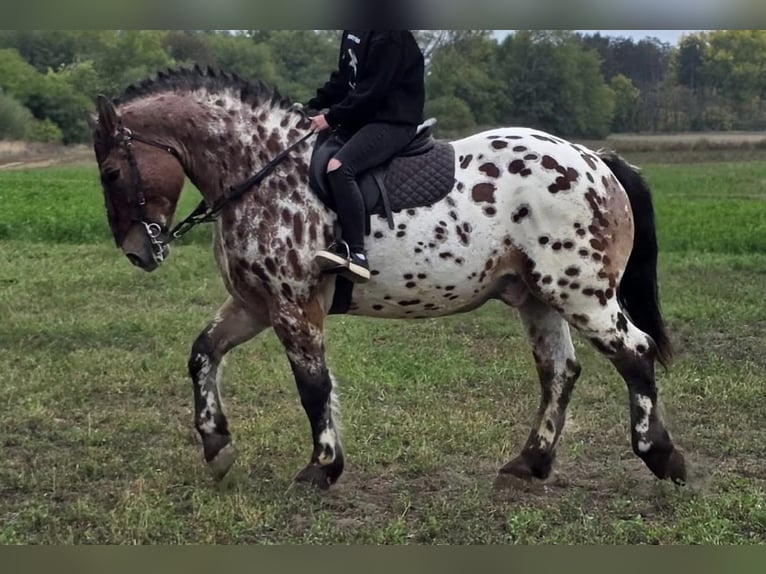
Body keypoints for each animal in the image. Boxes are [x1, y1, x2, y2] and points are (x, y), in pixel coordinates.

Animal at [92, 67, 686, 490]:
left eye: (112, 171)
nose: (138, 253)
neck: (262, 171)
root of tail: (595, 160)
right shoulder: (256, 304)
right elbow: (202, 355)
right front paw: (217, 447)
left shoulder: (293, 305)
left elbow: (313, 386)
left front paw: (322, 467)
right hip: (539, 298)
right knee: (560, 372)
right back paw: (530, 462)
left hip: (581, 293)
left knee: (635, 352)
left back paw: (661, 456)